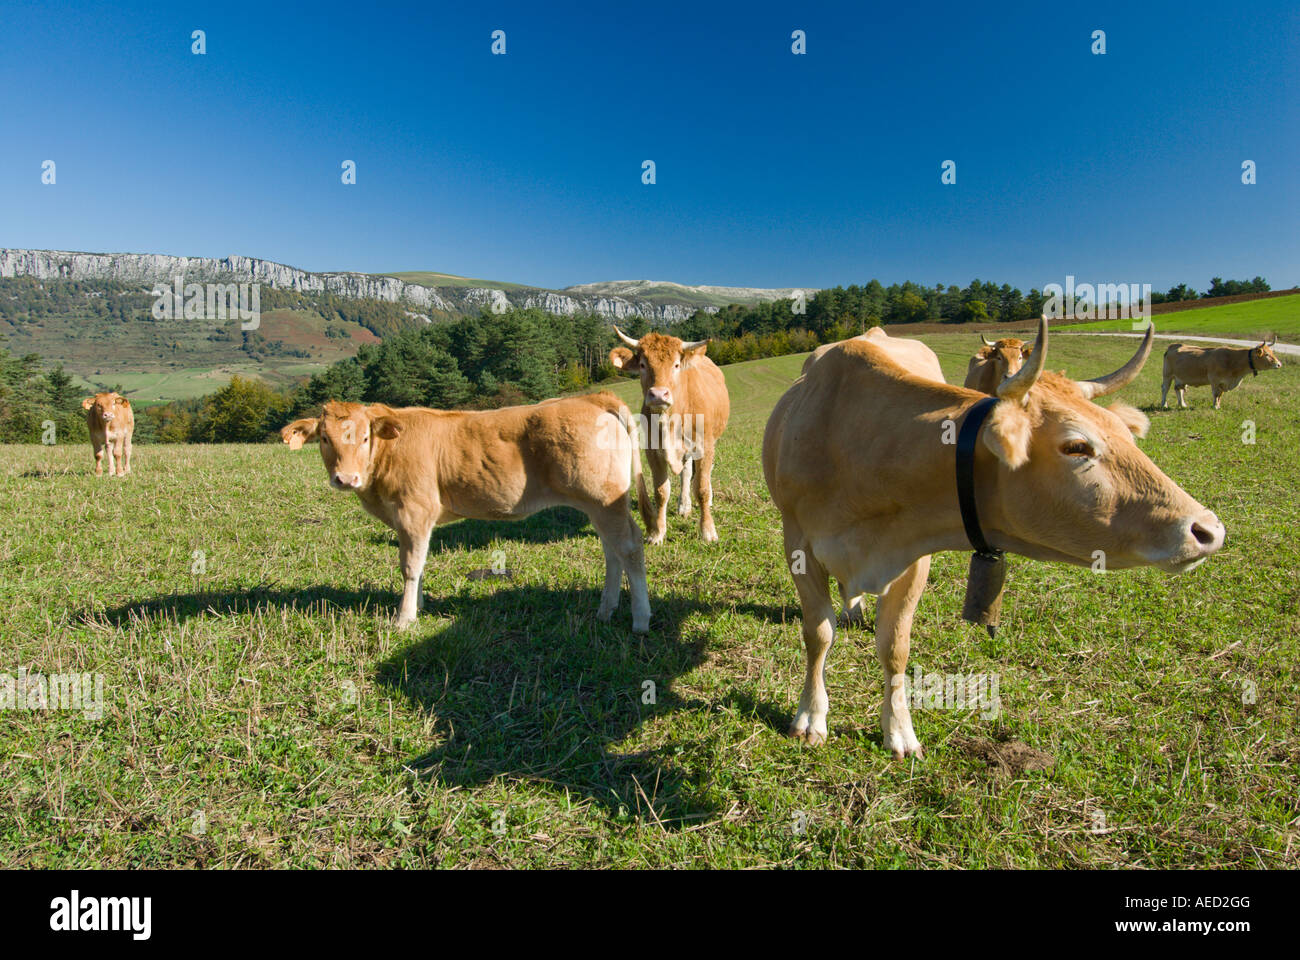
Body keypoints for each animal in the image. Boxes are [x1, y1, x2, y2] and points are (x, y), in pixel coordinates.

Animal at [280, 392, 655, 632]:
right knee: (611, 551)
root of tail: (593, 398)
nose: (346, 478)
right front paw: (419, 607)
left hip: (603, 498)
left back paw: (640, 619)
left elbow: (410, 566)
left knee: (629, 548)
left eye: (364, 437)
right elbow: (420, 562)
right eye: (324, 439)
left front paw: (404, 619)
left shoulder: (414, 510)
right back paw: (605, 610)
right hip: (599, 503)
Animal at [611, 327, 733, 538]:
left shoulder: (705, 446)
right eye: (642, 364)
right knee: (686, 472)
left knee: (705, 474)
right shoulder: (653, 451)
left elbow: (701, 488)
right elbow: (661, 492)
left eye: (676, 365)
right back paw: (684, 505)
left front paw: (708, 530)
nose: (659, 394)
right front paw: (657, 532)